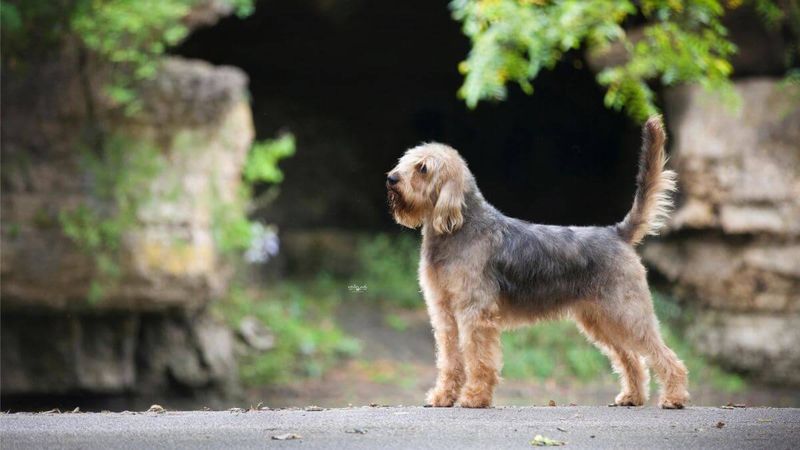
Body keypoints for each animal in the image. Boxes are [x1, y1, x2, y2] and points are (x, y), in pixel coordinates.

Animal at [386, 115, 688, 408]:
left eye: (423, 168)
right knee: (631, 359)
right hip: (601, 319)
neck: (458, 228)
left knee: (665, 356)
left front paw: (475, 397)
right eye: (407, 160)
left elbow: (479, 359)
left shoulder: (475, 313)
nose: (391, 178)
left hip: (628, 314)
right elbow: (450, 359)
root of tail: (617, 233)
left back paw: (673, 397)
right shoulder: (445, 314)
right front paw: (443, 397)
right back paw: (632, 396)